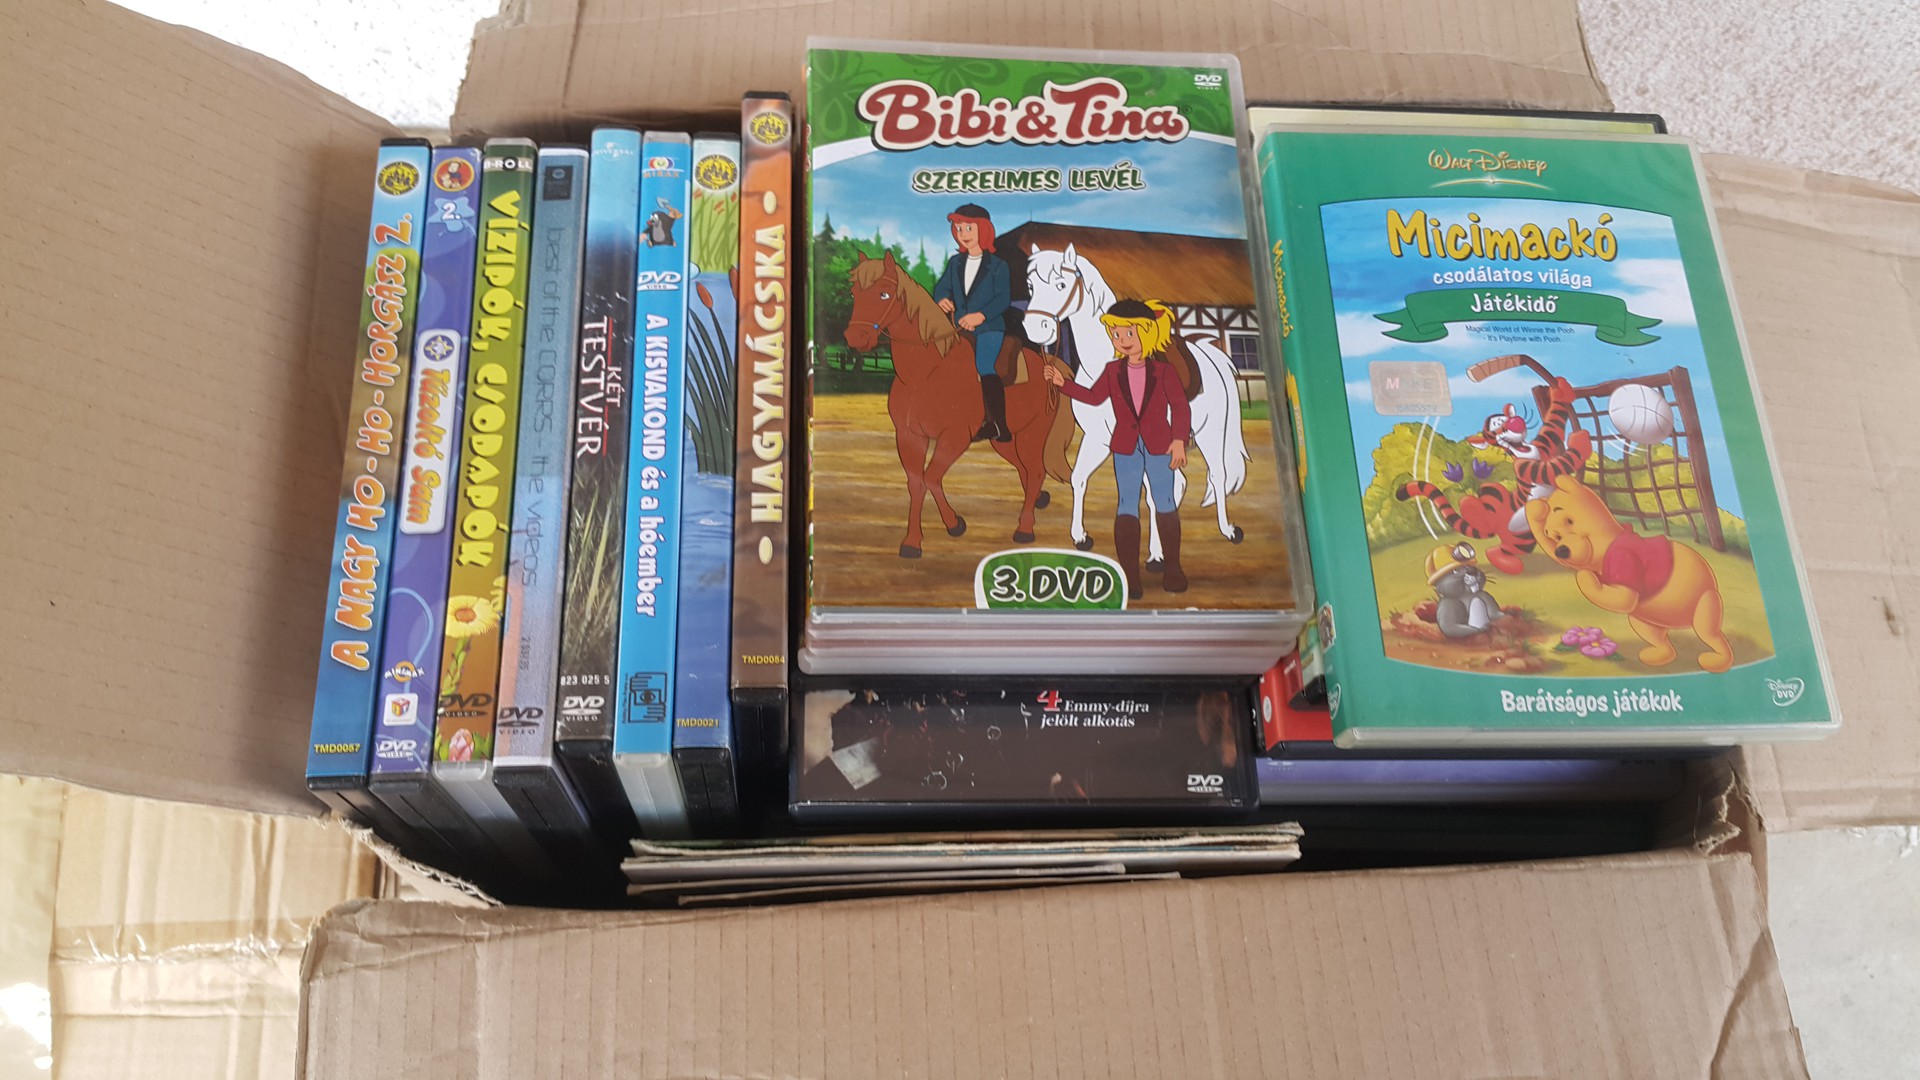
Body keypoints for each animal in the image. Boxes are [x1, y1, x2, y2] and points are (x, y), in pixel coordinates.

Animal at [843, 251, 1075, 558]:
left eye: (883, 294)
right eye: (855, 293)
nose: (854, 338)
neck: (926, 373)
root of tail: (1050, 367)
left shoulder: (954, 438)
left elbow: (930, 477)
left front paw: (952, 525)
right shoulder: (909, 436)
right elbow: (917, 482)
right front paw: (913, 541)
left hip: (1032, 434)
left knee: (1035, 470)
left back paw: (1025, 529)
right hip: (1003, 438)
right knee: (1024, 468)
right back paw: (1039, 499)